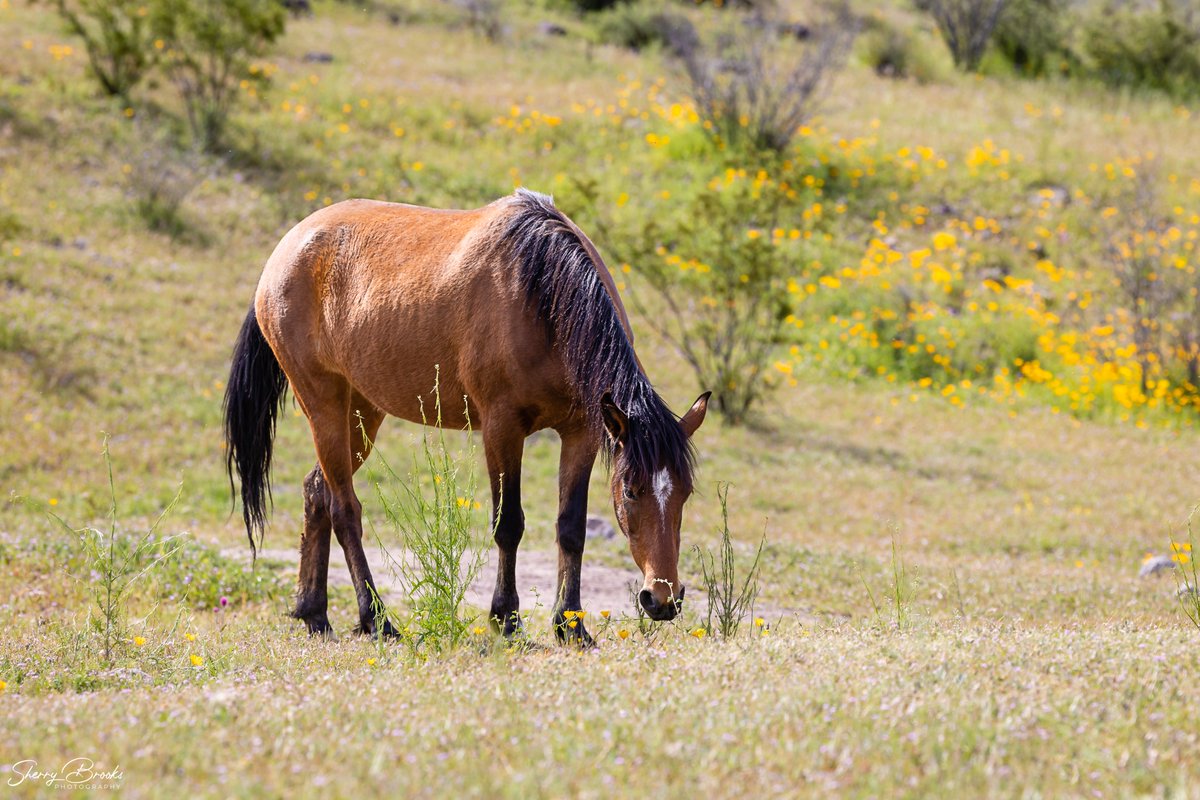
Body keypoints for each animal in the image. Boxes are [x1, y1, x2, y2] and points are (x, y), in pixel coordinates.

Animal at [222, 189, 705, 642]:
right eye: (631, 490)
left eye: (684, 493)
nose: (663, 599)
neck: (541, 293)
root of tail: (285, 252)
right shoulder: (502, 428)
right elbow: (508, 524)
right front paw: (506, 619)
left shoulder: (582, 430)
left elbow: (571, 527)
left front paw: (571, 626)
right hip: (322, 402)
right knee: (344, 510)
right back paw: (376, 619)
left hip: (361, 411)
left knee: (316, 491)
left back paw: (315, 613)